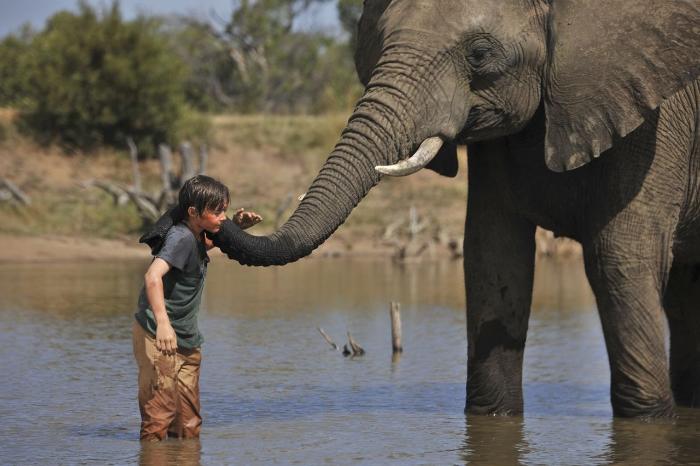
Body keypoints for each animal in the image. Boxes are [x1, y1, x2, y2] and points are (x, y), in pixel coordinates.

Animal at [144, 0, 700, 418]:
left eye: (480, 53)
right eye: (380, 43)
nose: (218, 216)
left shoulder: (656, 115)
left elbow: (618, 263)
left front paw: (648, 418)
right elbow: (493, 261)